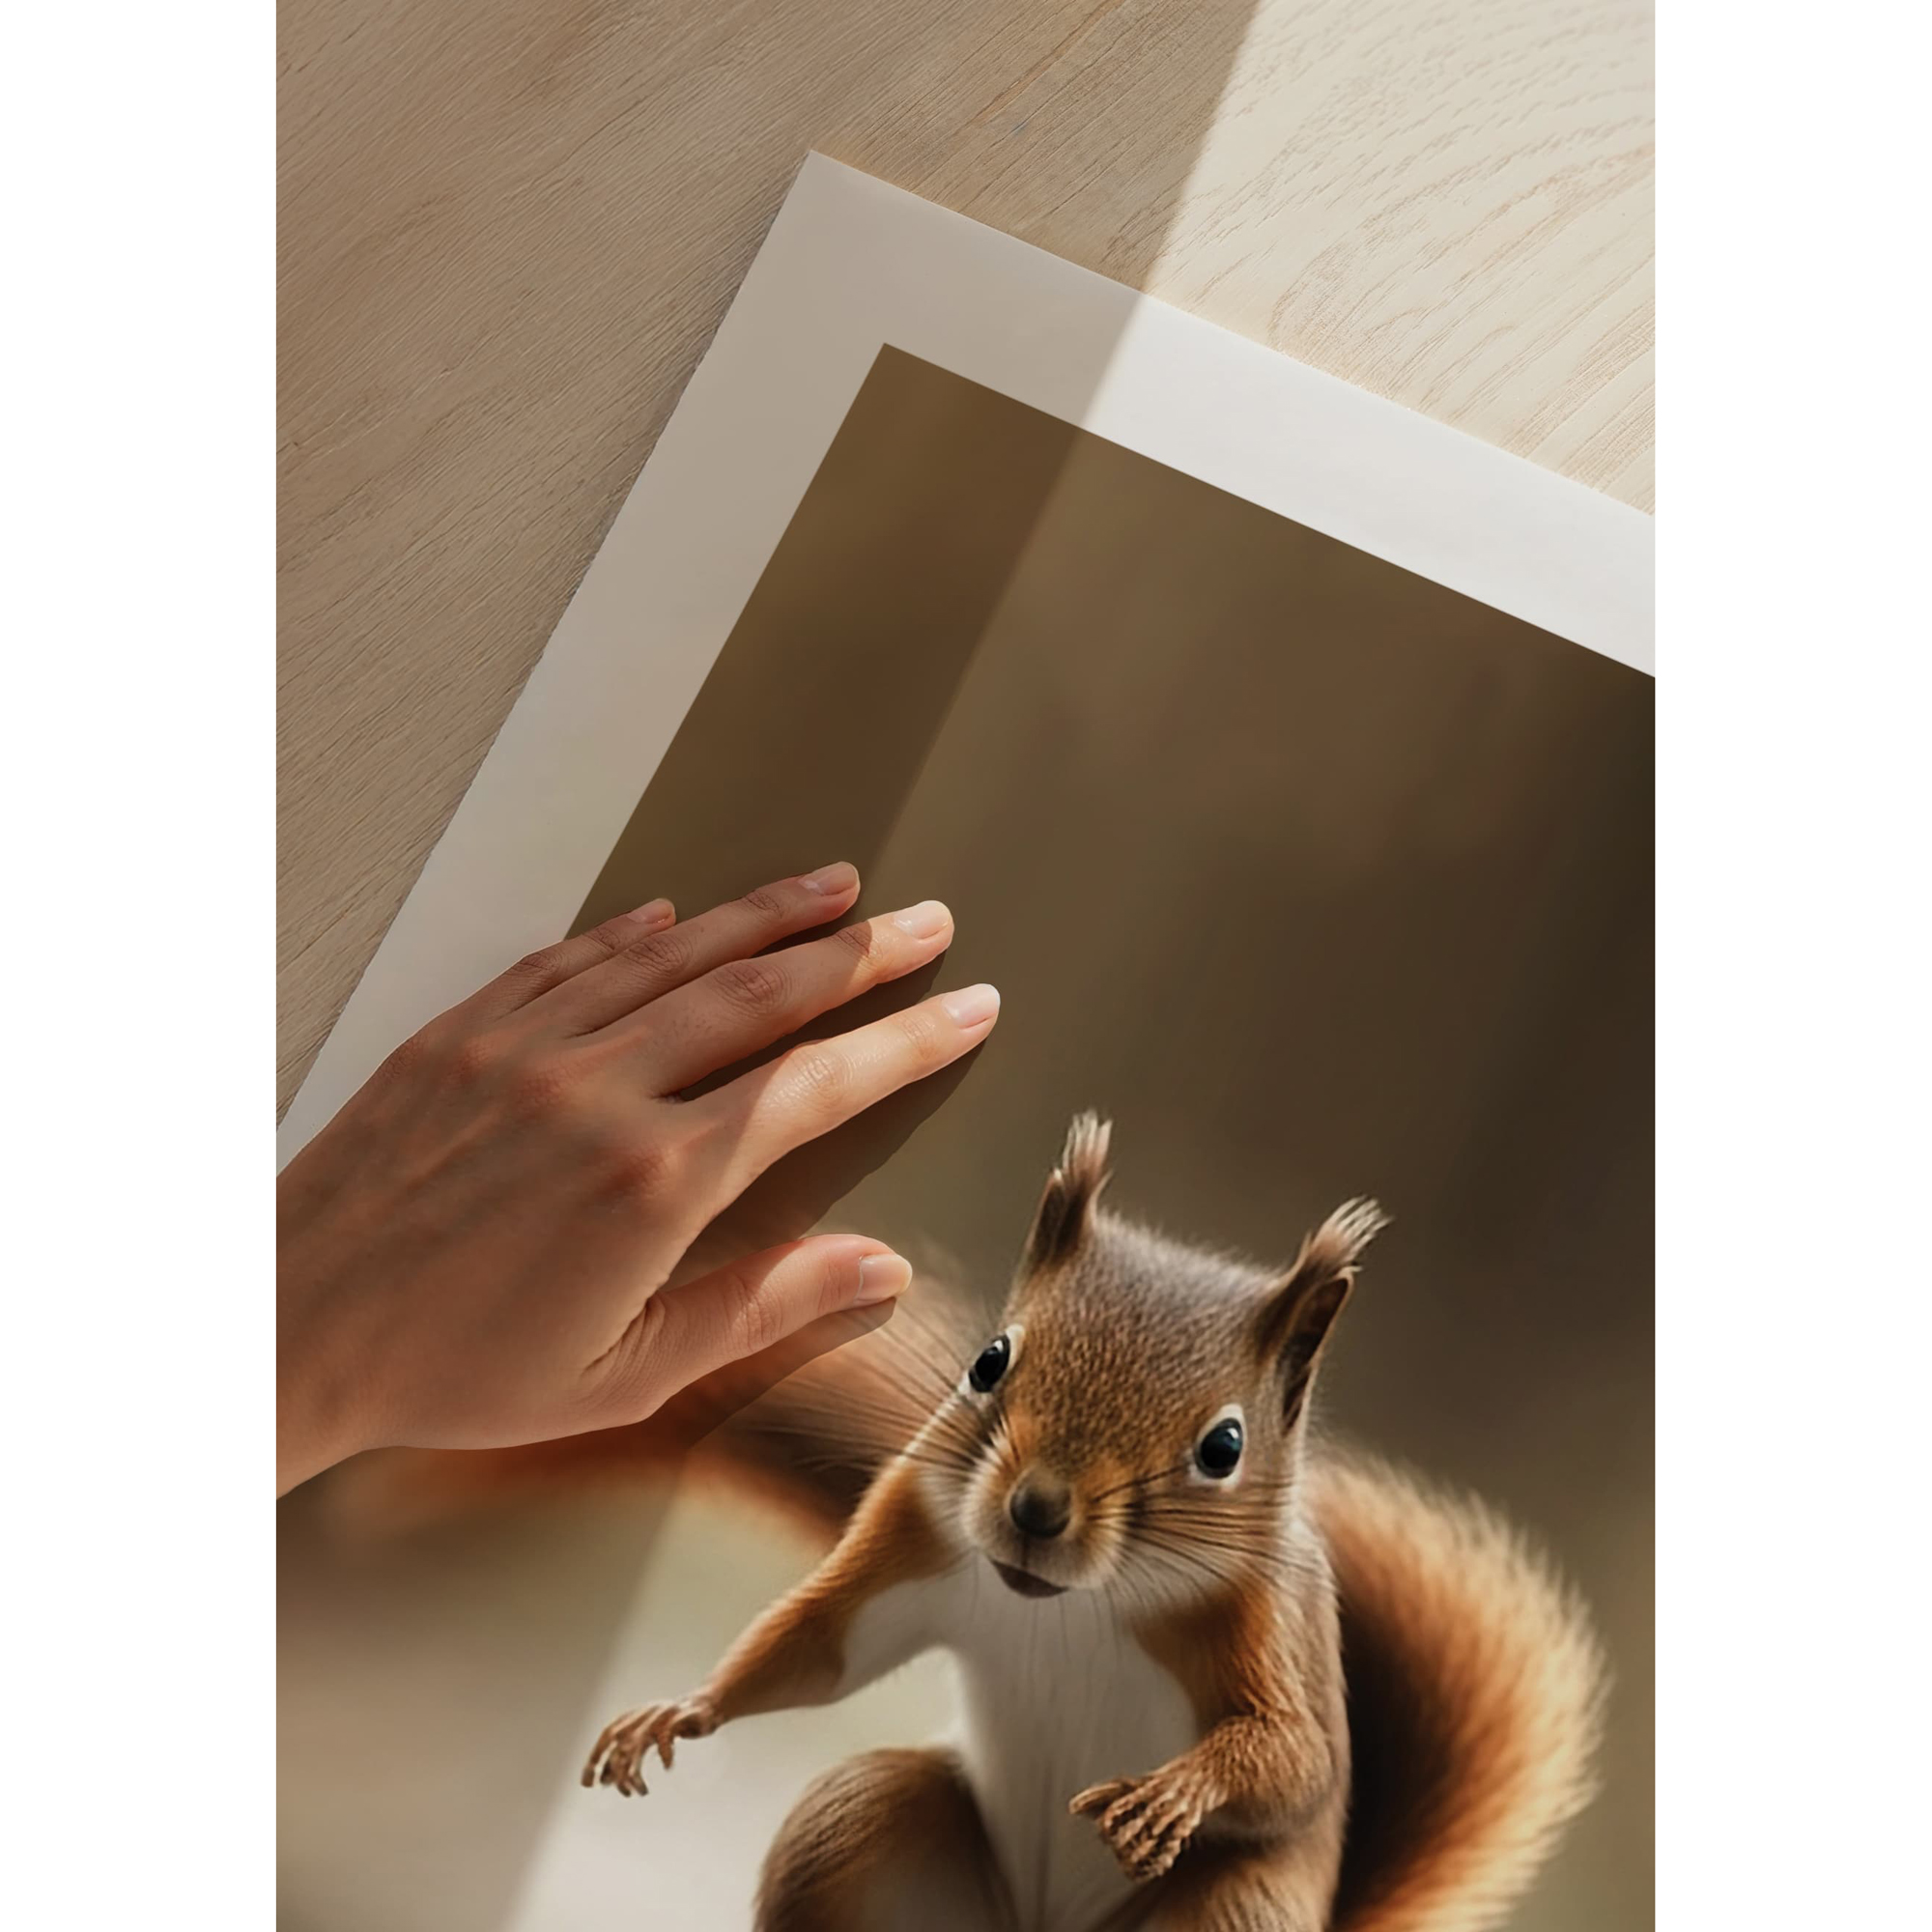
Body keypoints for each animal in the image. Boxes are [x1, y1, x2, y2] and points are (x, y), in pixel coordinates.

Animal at [554, 1113, 1609, 1932]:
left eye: (1225, 1446)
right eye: (988, 1360)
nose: (1036, 1507)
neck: (1071, 1605)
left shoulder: (1265, 1620)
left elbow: (1294, 1755)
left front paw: (1175, 1791)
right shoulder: (912, 1525)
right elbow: (821, 1645)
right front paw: (682, 1710)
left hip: (1241, 1906)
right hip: (864, 1826)